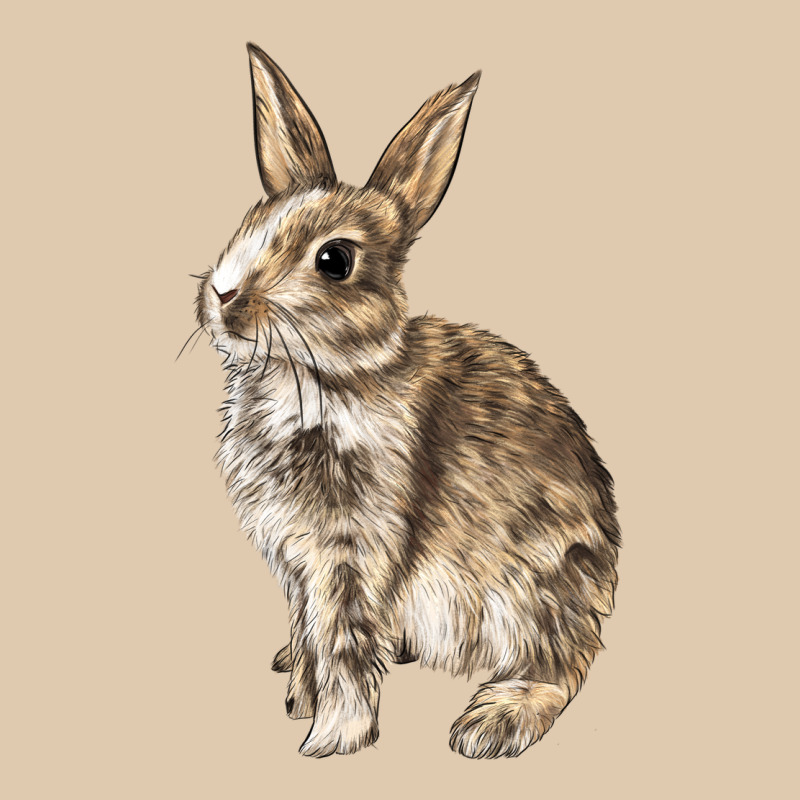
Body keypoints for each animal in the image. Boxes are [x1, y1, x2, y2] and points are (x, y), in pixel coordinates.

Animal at [193, 43, 620, 759]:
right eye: (249, 224)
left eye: (334, 260)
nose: (223, 296)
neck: (323, 376)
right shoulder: (297, 563)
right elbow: (309, 635)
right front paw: (298, 696)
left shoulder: (351, 552)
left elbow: (340, 646)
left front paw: (329, 740)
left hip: (531, 593)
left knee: (559, 669)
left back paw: (490, 724)